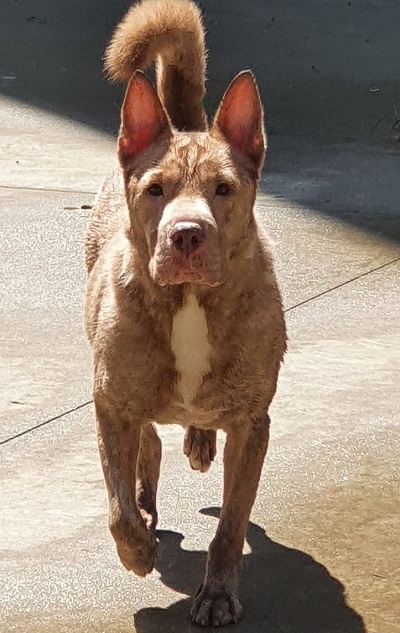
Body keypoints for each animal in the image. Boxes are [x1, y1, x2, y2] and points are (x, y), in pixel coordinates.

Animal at [84, 0, 286, 624]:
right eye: (156, 189)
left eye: (223, 188)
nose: (187, 234)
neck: (190, 303)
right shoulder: (110, 403)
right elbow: (116, 506)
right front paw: (137, 550)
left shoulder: (251, 423)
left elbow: (232, 523)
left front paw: (218, 592)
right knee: (147, 444)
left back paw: (198, 441)